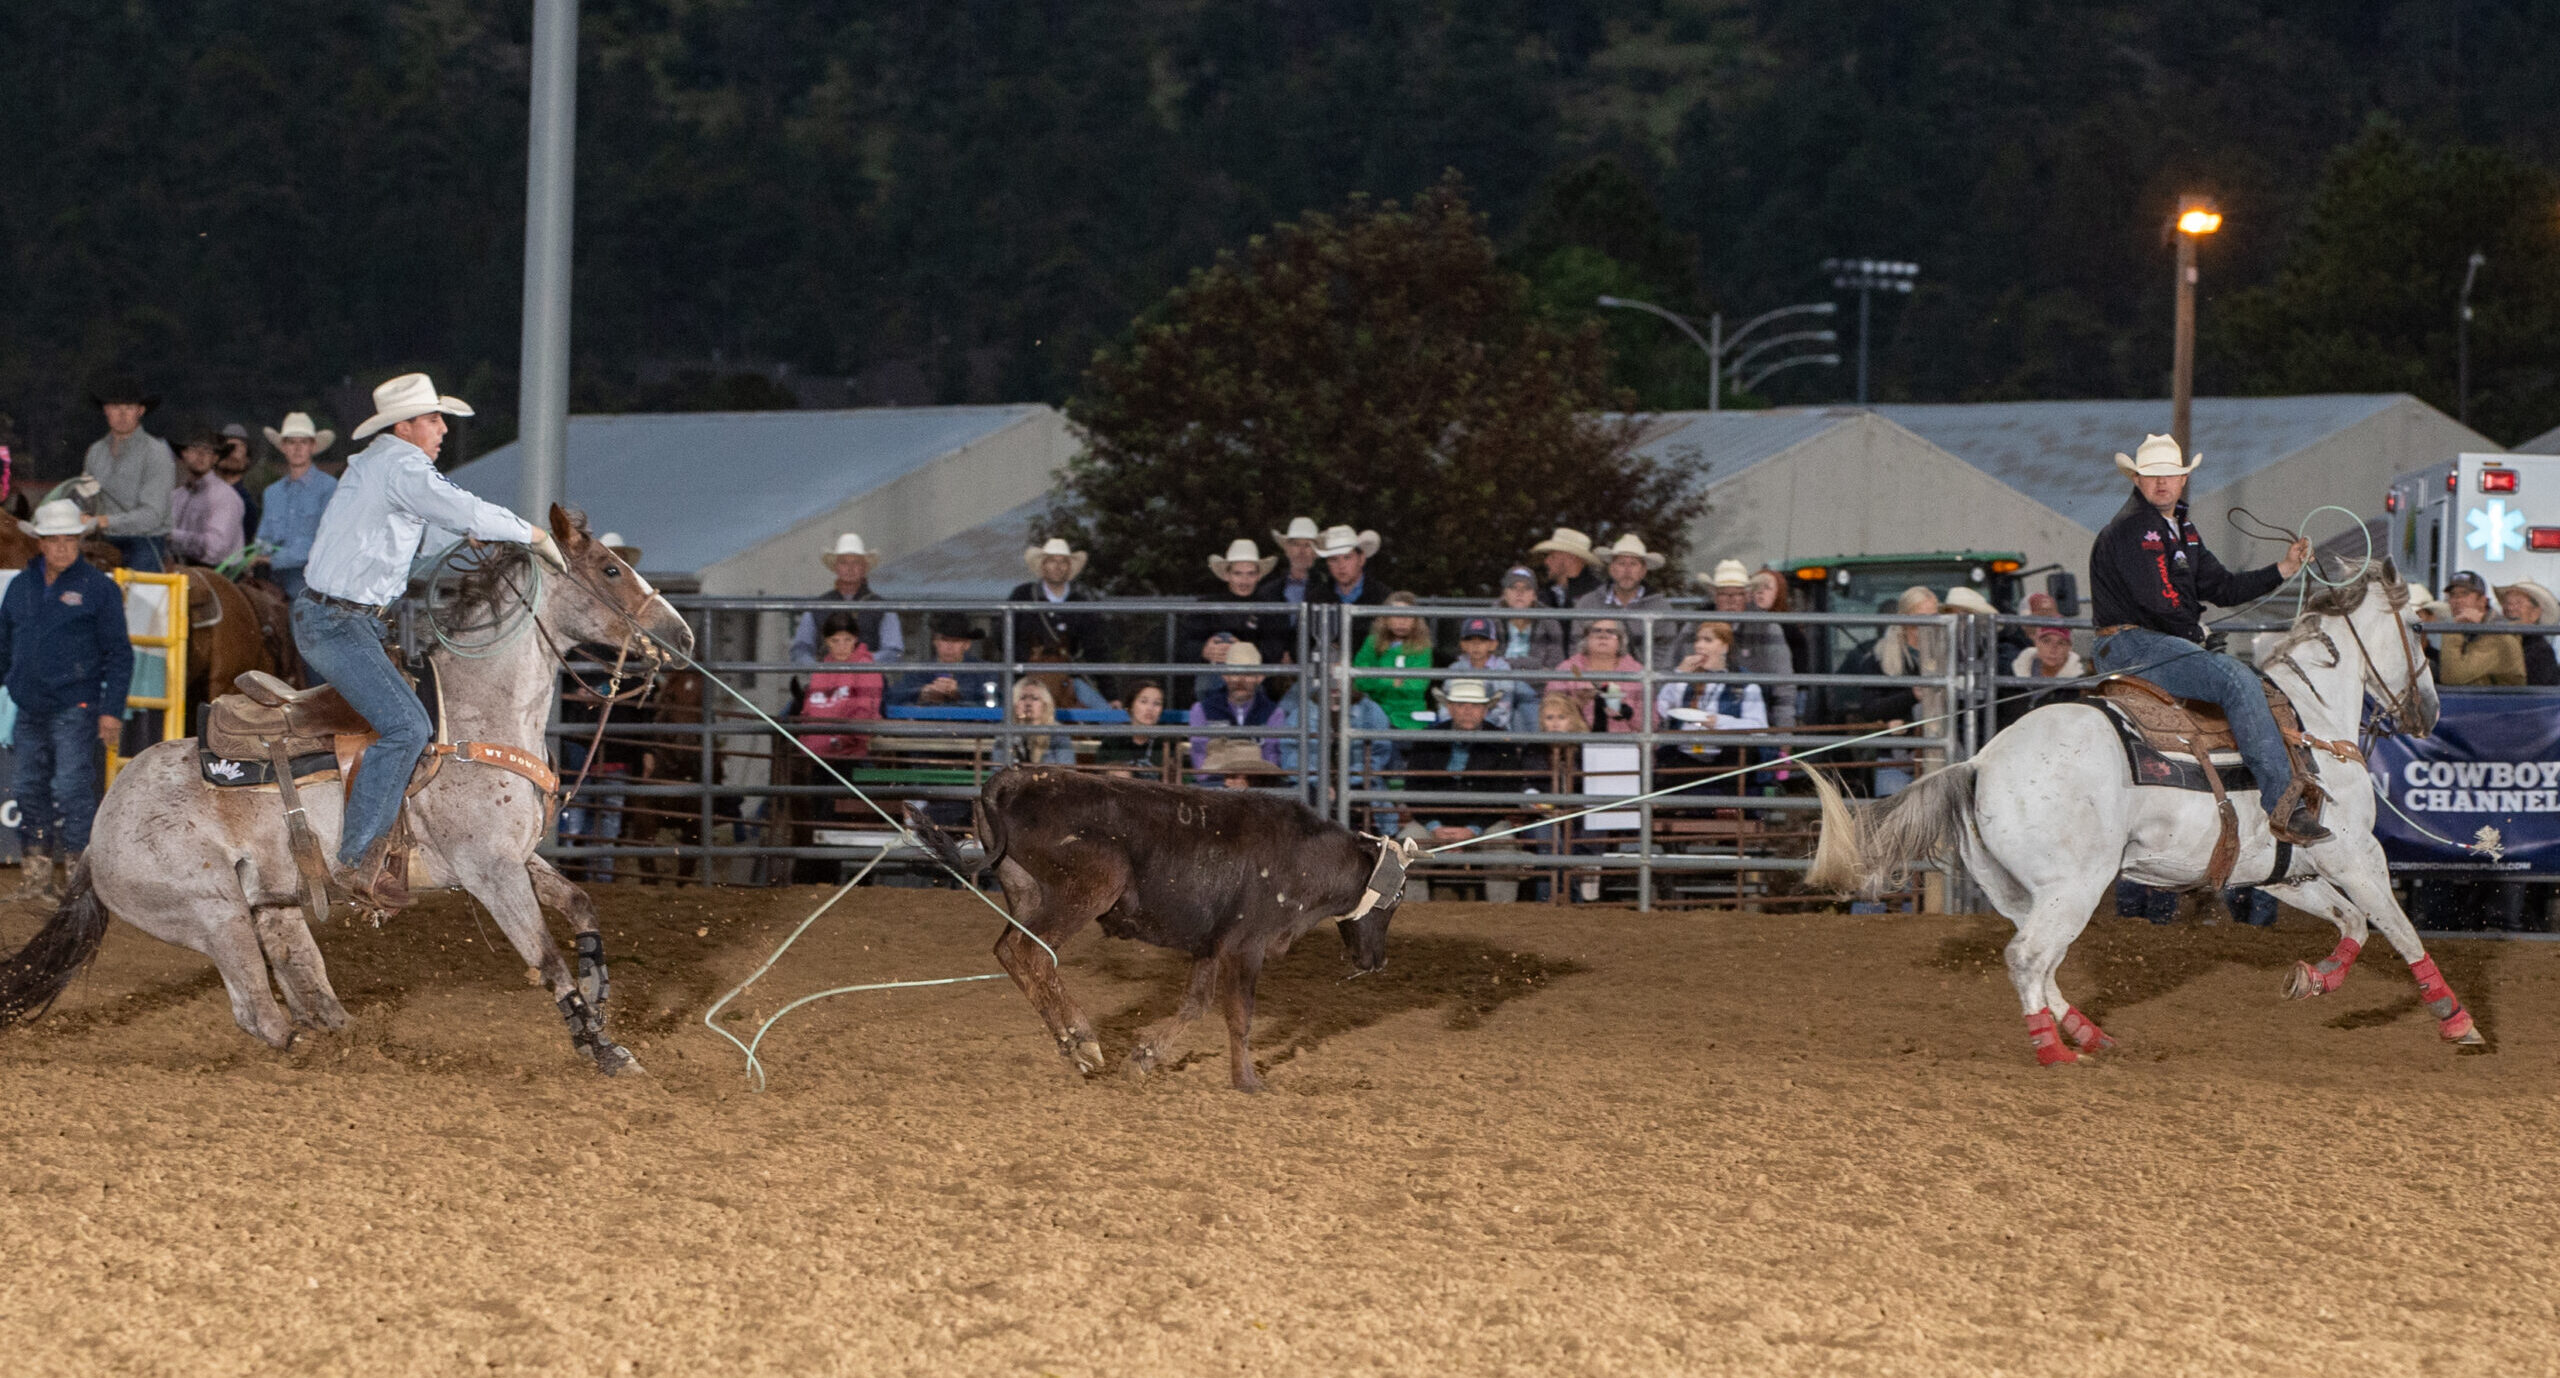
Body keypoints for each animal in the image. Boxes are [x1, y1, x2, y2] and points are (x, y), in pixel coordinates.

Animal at [0, 509, 691, 1065]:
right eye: (609, 570)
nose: (681, 636)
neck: (476, 716)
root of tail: (98, 831)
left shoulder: (515, 858)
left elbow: (581, 905)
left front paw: (600, 995)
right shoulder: (489, 869)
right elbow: (544, 957)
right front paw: (600, 1048)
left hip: (270, 902)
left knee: (303, 976)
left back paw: (352, 1041)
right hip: (213, 912)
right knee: (258, 1009)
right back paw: (316, 1053)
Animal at [1802, 558, 2478, 1060]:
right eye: (2419, 629)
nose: (2429, 714)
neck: (2312, 720)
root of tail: (1979, 764)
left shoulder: (2285, 872)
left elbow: (2354, 925)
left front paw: (2312, 980)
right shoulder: (2357, 854)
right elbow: (2399, 928)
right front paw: (2457, 1019)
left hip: (2026, 892)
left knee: (2041, 965)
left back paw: (2090, 1035)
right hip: (2075, 886)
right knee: (2027, 959)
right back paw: (2054, 1052)